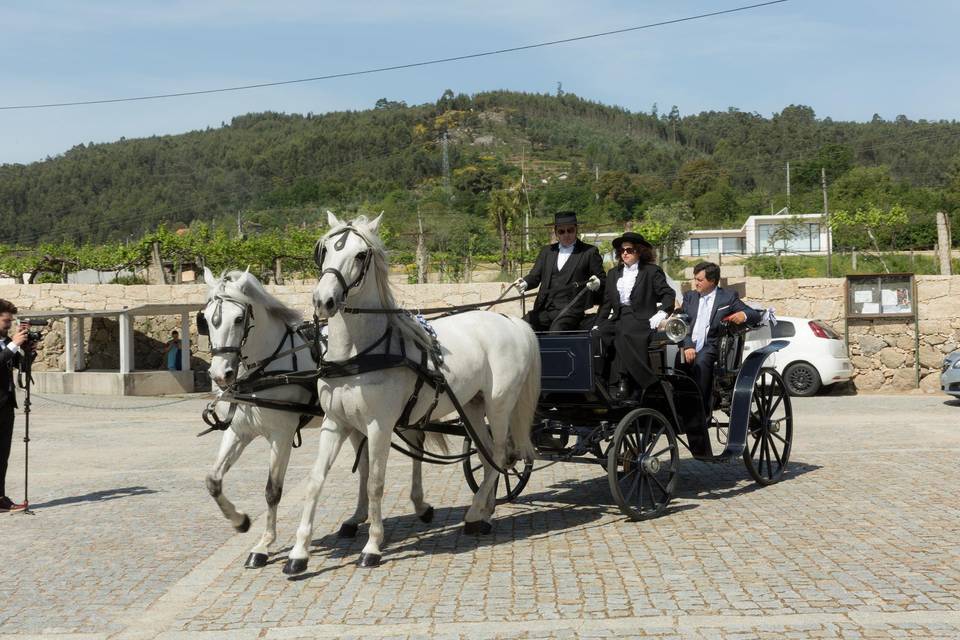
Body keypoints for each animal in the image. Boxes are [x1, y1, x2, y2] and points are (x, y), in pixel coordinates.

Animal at [204, 268, 440, 568]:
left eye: (238, 318)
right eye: (205, 319)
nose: (220, 374)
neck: (268, 367)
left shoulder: (281, 435)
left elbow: (272, 491)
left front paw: (264, 545)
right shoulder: (238, 431)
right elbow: (213, 481)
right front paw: (240, 521)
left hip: (397, 416)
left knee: (416, 446)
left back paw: (421, 505)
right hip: (354, 422)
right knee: (366, 465)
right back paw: (356, 518)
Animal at [284, 211, 540, 576]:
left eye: (360, 255)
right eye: (324, 250)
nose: (323, 301)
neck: (357, 354)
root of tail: (510, 320)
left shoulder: (379, 426)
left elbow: (375, 483)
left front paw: (372, 547)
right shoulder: (335, 423)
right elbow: (316, 480)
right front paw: (299, 553)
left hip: (500, 404)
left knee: (501, 455)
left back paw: (475, 513)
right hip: (472, 406)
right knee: (487, 452)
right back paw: (484, 513)